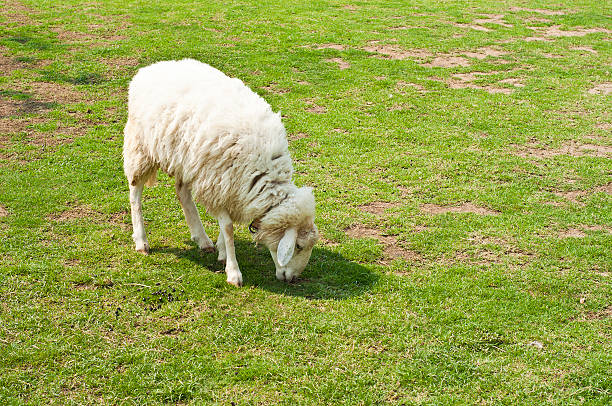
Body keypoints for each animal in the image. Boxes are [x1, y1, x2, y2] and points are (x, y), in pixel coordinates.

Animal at [122, 58, 318, 288]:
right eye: (298, 246)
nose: (293, 278)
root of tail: (150, 68)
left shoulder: (228, 185)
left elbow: (225, 227)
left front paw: (222, 251)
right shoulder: (218, 182)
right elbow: (228, 228)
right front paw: (233, 272)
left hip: (186, 158)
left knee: (182, 192)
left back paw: (202, 239)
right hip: (141, 147)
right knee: (135, 193)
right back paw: (141, 241)